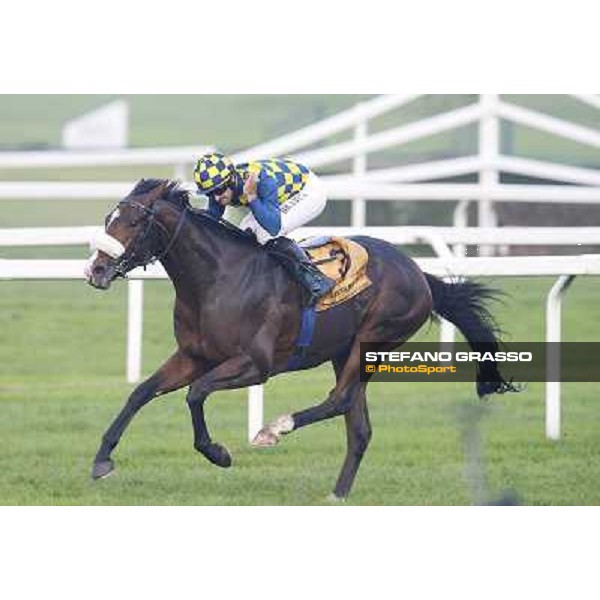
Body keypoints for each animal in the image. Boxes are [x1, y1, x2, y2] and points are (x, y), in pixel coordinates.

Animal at [86, 178, 516, 502]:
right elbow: (140, 392)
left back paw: (275, 429)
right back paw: (336, 495)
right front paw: (102, 459)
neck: (217, 279)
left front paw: (218, 453)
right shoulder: (192, 356)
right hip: (345, 352)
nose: (96, 270)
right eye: (108, 219)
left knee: (339, 400)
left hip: (373, 340)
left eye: (133, 223)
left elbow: (196, 393)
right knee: (359, 427)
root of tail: (418, 273)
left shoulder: (254, 365)